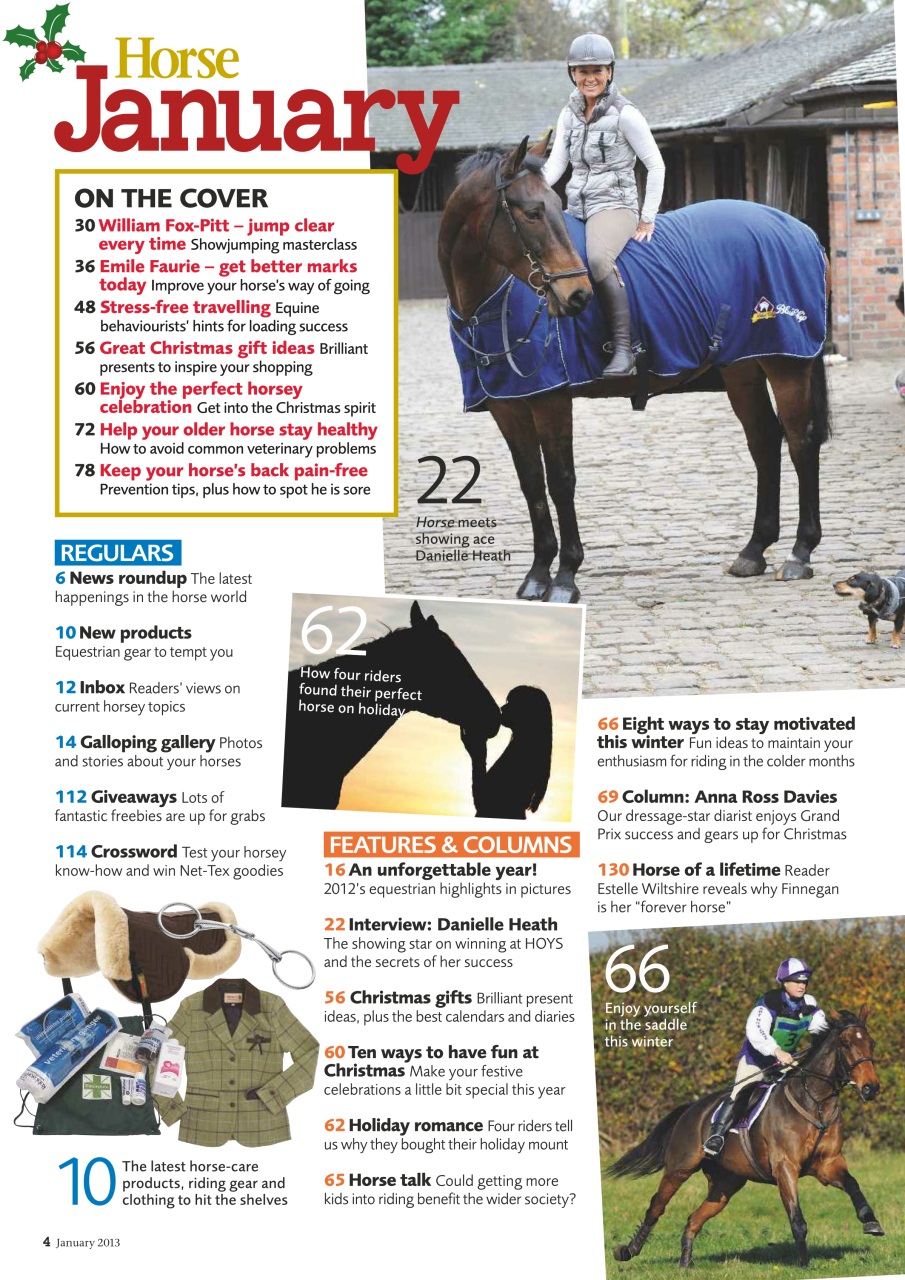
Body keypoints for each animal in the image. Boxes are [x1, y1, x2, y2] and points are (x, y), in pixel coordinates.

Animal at [438, 135, 831, 604]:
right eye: (532, 212)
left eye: (554, 205)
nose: (577, 296)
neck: (491, 297)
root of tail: (802, 232)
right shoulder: (509, 405)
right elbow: (532, 483)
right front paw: (537, 574)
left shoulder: (551, 402)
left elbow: (561, 481)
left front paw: (565, 576)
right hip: (744, 372)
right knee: (765, 442)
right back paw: (754, 550)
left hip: (786, 367)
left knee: (800, 443)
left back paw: (800, 552)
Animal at [608, 1008, 883, 1269]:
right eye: (846, 1044)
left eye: (871, 1043)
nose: (871, 1088)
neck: (815, 1102)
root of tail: (691, 1109)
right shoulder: (785, 1168)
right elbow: (797, 1218)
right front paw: (803, 1264)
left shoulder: (827, 1164)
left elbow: (853, 1184)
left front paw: (871, 1221)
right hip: (680, 1168)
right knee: (656, 1206)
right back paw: (628, 1251)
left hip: (725, 1185)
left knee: (694, 1219)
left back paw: (684, 1264)